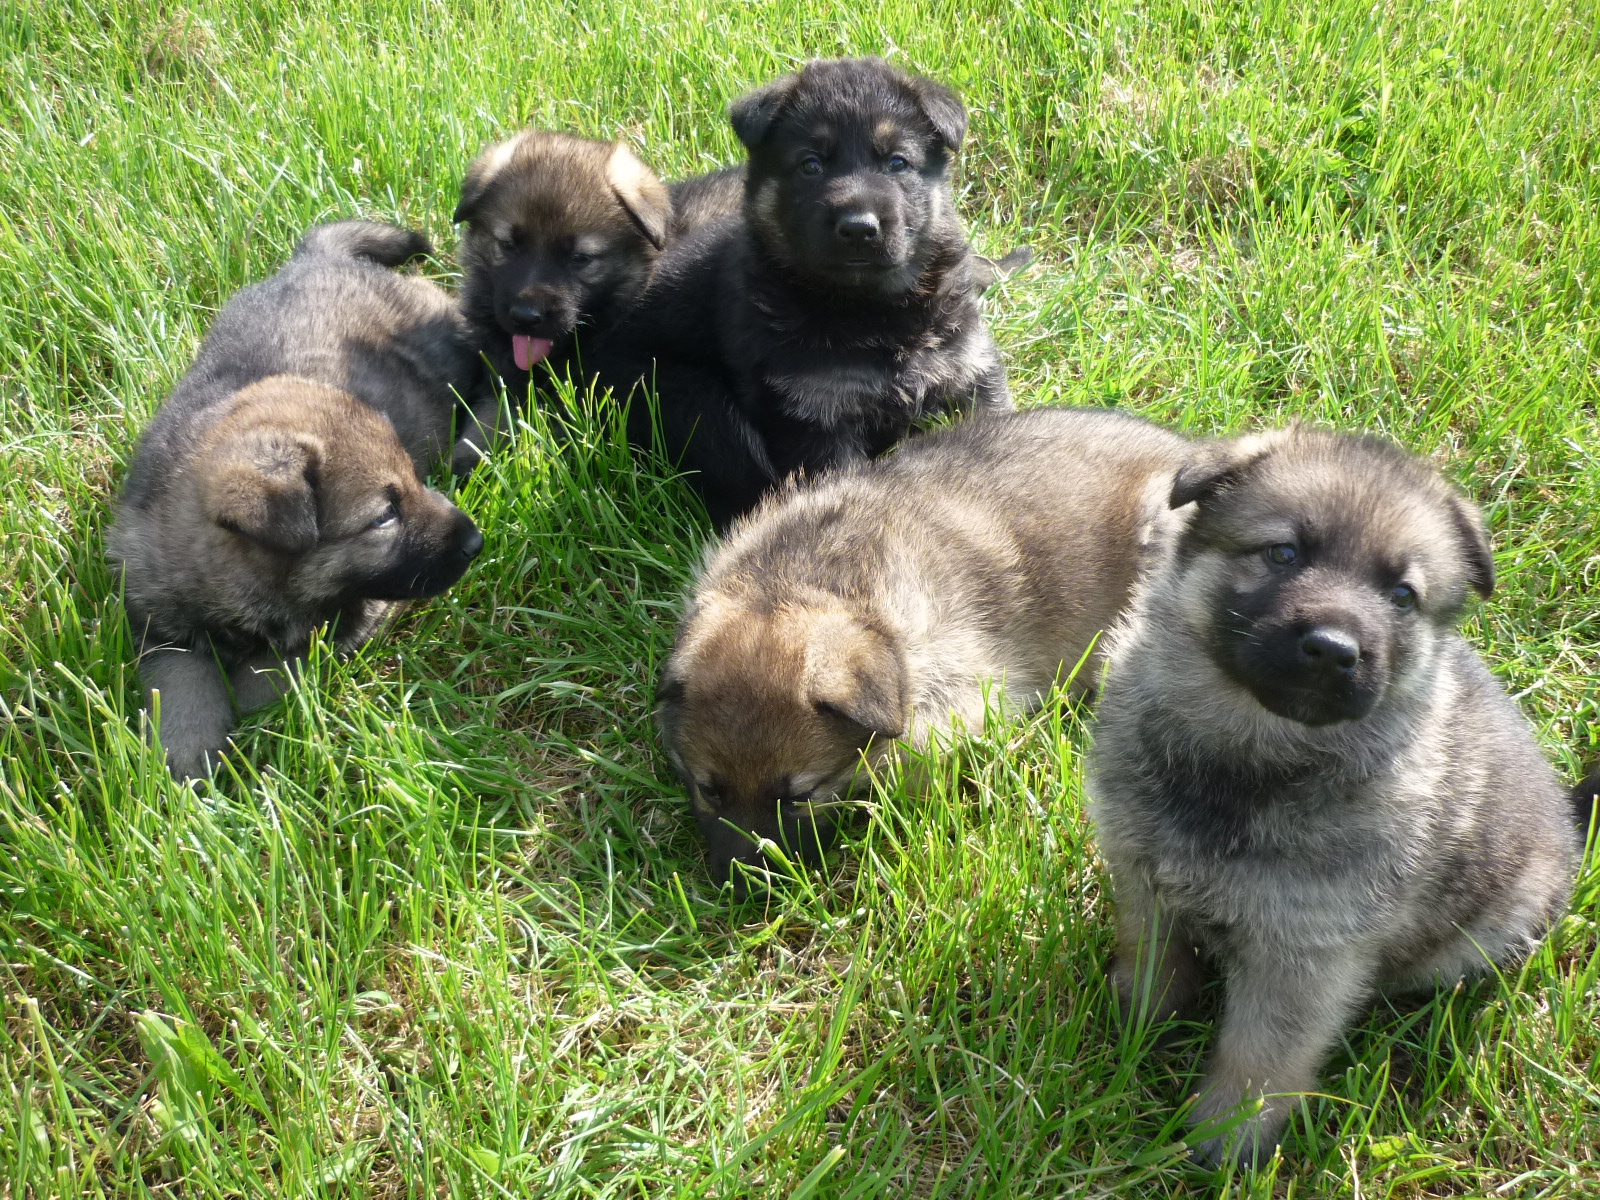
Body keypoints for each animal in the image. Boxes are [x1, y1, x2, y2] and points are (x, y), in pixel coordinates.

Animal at [109, 221, 484, 780]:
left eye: (416, 481)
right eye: (384, 517)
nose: (475, 542)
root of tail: (315, 258)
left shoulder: (353, 616)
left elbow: (270, 671)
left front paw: (245, 707)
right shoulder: (159, 624)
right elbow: (180, 682)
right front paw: (187, 753)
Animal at [451, 130, 743, 471]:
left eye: (580, 258)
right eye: (507, 245)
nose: (525, 316)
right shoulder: (502, 370)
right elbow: (491, 412)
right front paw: (468, 458)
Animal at [592, 57, 1016, 530]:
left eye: (897, 163)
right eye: (811, 165)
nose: (859, 228)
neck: (872, 307)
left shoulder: (970, 369)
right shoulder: (813, 416)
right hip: (685, 397)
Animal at [1086, 427, 1581, 1167]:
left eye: (1402, 595)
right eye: (1283, 553)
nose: (1332, 649)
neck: (1254, 756)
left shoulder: (1305, 957)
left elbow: (1258, 1059)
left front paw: (1223, 1146)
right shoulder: (1144, 877)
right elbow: (1154, 965)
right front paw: (1139, 1032)